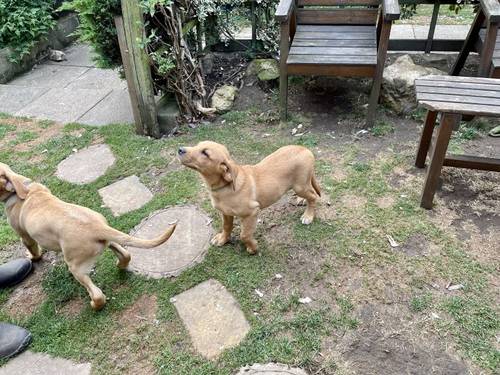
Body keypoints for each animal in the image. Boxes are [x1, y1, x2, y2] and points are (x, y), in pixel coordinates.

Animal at [0, 164, 176, 312]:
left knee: (97, 295)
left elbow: (32, 248)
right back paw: (120, 265)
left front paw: (33, 257)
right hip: (108, 242)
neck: (23, 190)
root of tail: (98, 227)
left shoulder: (24, 236)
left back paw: (94, 303)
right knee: (126, 254)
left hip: (76, 267)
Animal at [179, 142, 320, 256]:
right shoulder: (225, 212)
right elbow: (226, 226)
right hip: (301, 184)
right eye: (197, 145)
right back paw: (301, 201)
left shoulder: (252, 212)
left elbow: (245, 235)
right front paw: (223, 239)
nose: (180, 149)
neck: (224, 186)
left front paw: (252, 248)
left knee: (313, 196)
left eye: (205, 153)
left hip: (300, 186)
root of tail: (304, 148)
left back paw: (308, 215)